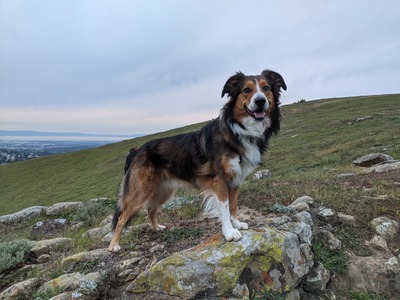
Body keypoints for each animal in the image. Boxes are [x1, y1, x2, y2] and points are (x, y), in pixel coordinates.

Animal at [108, 69, 286, 251]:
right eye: (246, 90)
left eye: (266, 88)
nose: (260, 101)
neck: (237, 131)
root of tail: (136, 150)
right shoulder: (219, 180)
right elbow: (225, 208)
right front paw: (229, 232)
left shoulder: (235, 179)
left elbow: (234, 205)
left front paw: (236, 224)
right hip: (141, 191)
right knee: (122, 217)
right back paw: (114, 245)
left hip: (163, 189)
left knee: (151, 209)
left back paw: (156, 227)